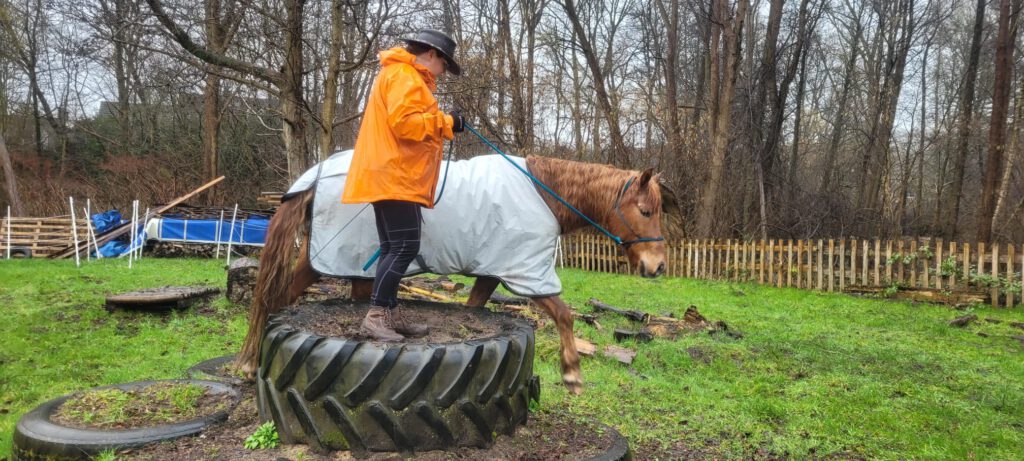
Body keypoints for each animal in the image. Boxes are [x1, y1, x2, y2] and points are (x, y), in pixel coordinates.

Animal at [237, 153, 671, 393]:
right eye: (645, 211)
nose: (657, 266)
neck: (544, 195)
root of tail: (315, 178)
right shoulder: (526, 272)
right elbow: (564, 315)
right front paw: (572, 376)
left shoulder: (492, 272)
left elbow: (475, 307)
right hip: (326, 259)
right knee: (273, 299)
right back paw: (249, 362)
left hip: (352, 267)